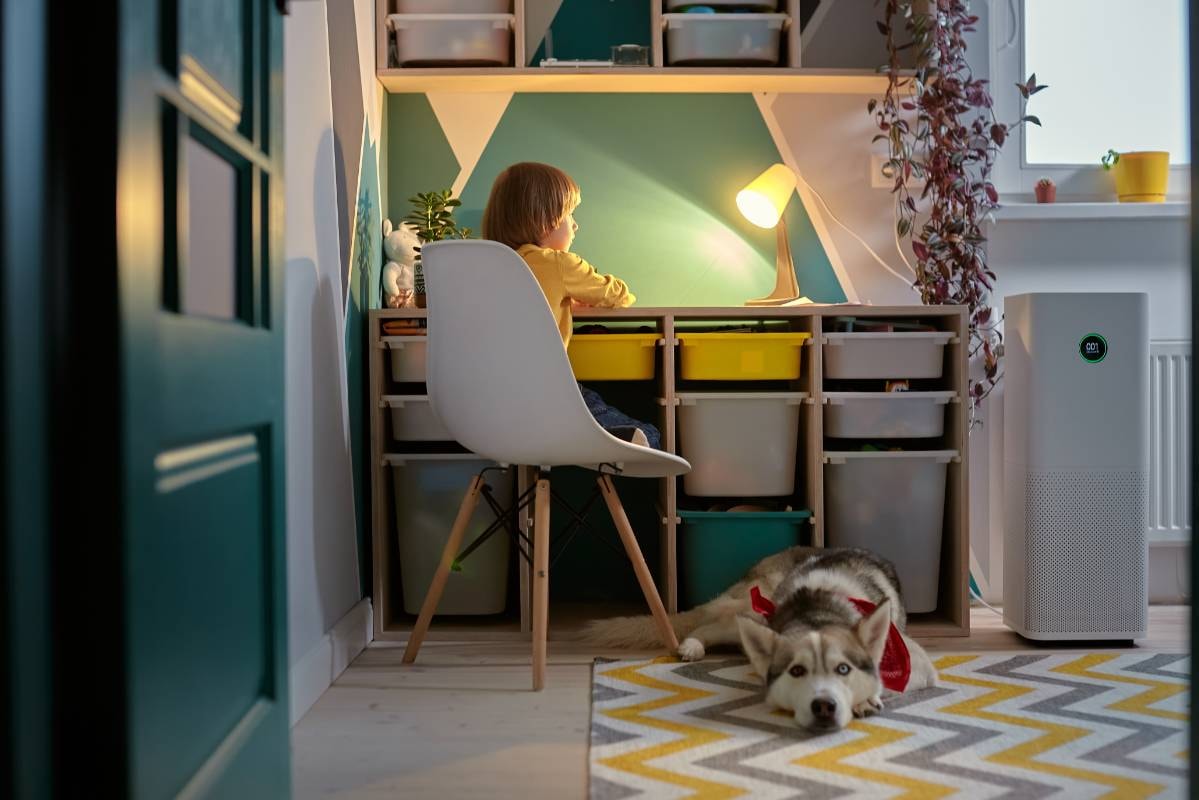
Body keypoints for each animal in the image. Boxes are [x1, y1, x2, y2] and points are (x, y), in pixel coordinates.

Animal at [577, 544, 935, 734]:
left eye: (843, 669)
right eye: (797, 672)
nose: (823, 708)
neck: (817, 602)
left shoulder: (915, 662)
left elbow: (883, 678)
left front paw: (863, 697)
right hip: (749, 609)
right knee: (704, 625)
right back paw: (691, 646)